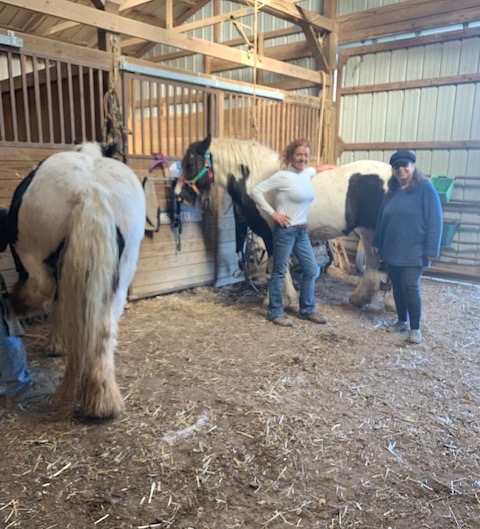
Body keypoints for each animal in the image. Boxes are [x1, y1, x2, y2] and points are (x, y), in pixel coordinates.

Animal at [2, 142, 145, 418]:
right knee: (105, 325)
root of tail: (91, 188)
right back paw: (102, 401)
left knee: (41, 290)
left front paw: (56, 345)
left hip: (32, 257)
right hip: (123, 269)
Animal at [176, 134, 394, 308]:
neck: (258, 180)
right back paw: (361, 298)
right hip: (369, 231)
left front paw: (281, 299)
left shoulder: (270, 233)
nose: (179, 194)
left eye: (190, 164)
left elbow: (276, 264)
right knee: (373, 262)